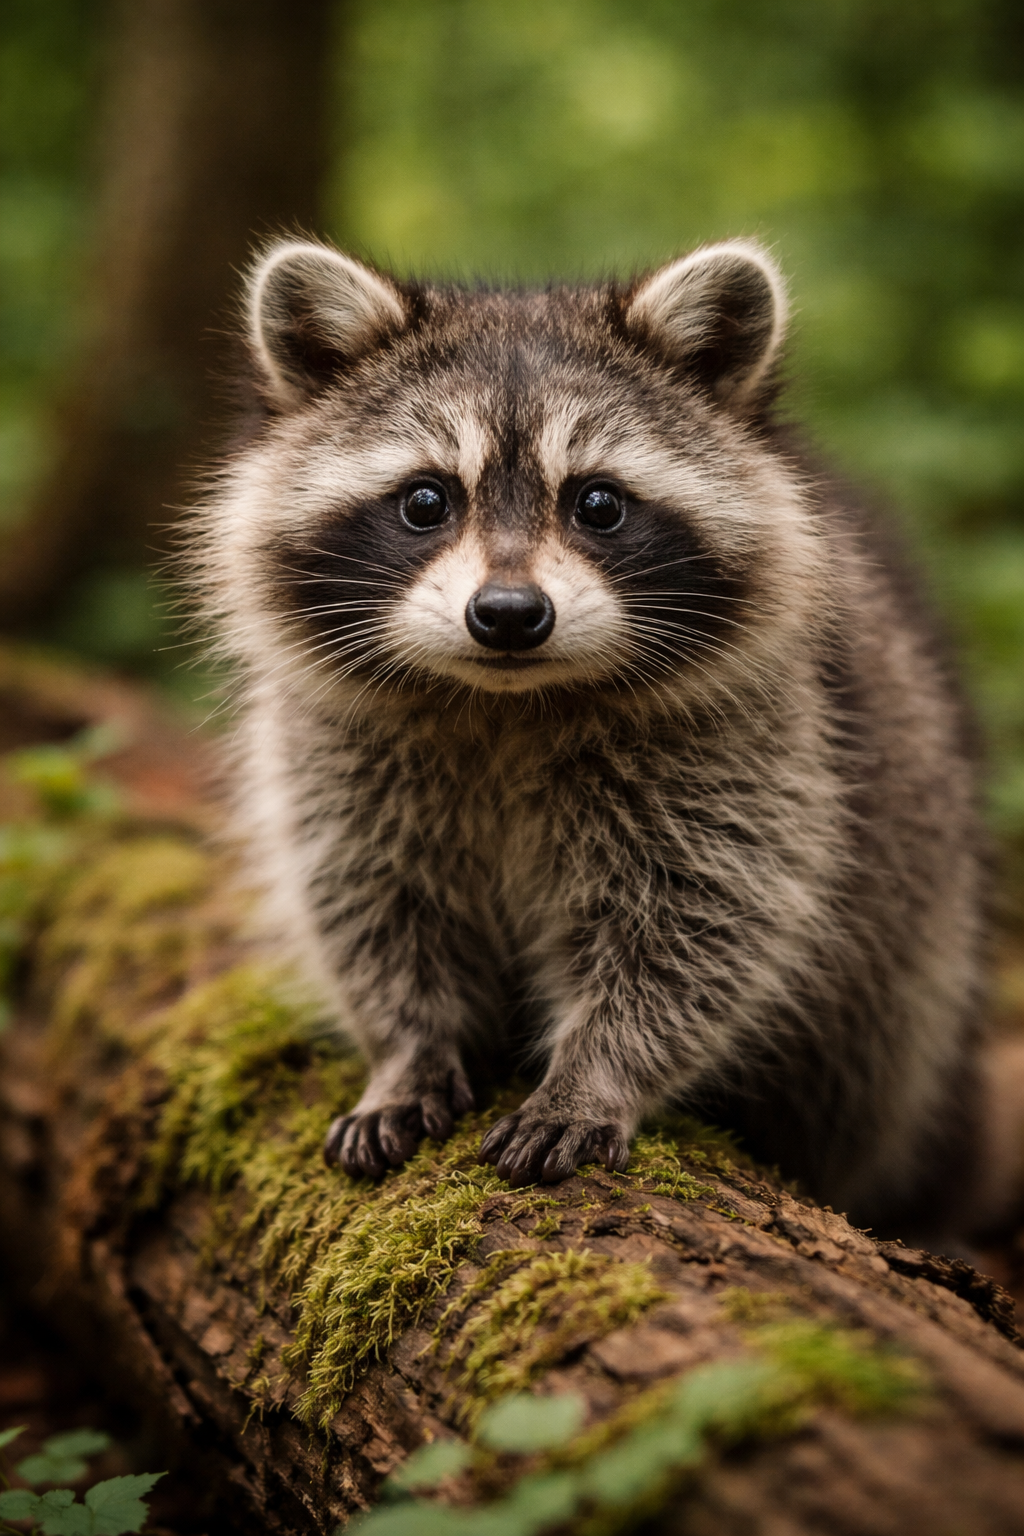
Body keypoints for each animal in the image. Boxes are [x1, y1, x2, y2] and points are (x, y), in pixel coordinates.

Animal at [192, 236, 986, 1243]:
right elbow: (374, 906)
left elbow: (699, 925)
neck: (506, 702)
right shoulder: (340, 756)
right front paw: (405, 1052)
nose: (507, 614)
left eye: (598, 504)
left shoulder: (752, 747)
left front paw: (595, 1076)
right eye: (425, 502)